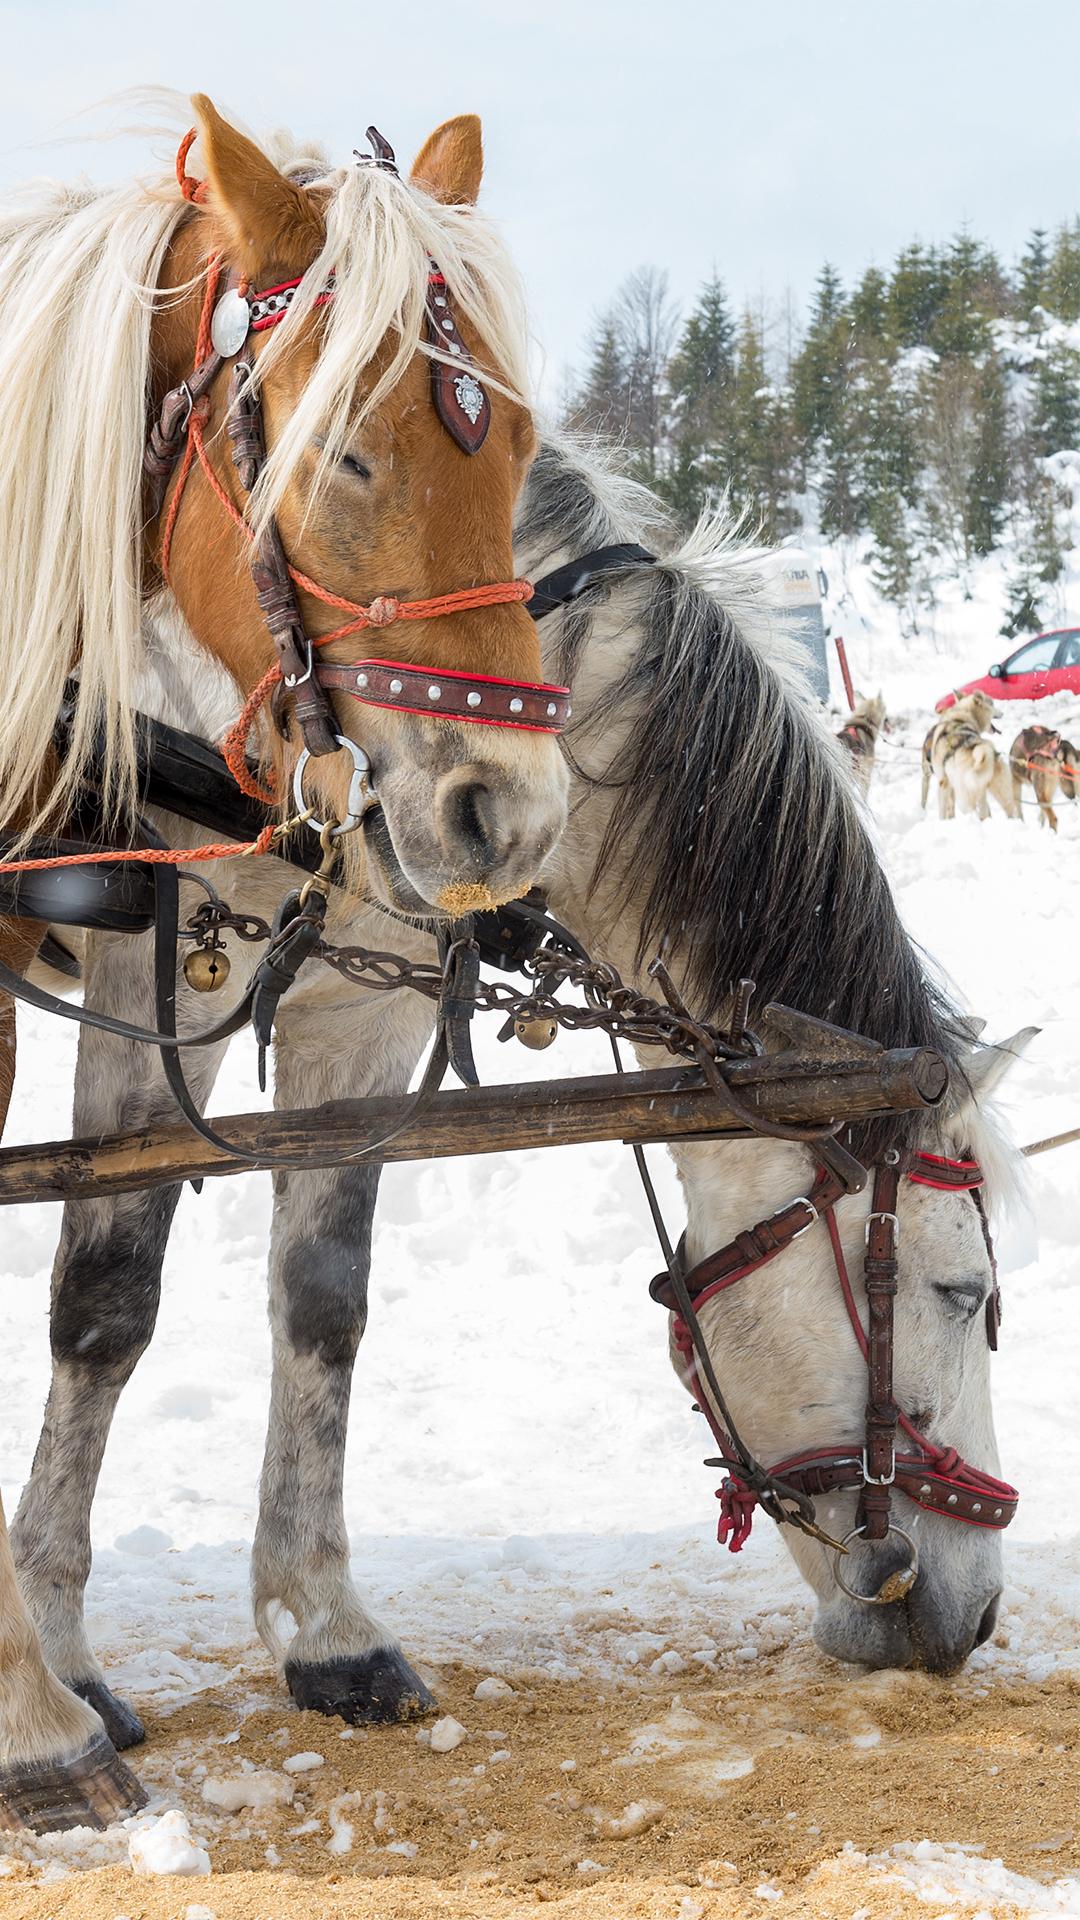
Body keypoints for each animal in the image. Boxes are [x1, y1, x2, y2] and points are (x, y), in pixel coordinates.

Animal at [2, 444, 1031, 1834]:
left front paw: (325, 1630)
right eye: (960, 1290)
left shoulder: (364, 1012)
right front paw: (60, 1664)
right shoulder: (163, 978)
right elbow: (107, 1309)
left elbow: (324, 1306)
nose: (974, 1616)